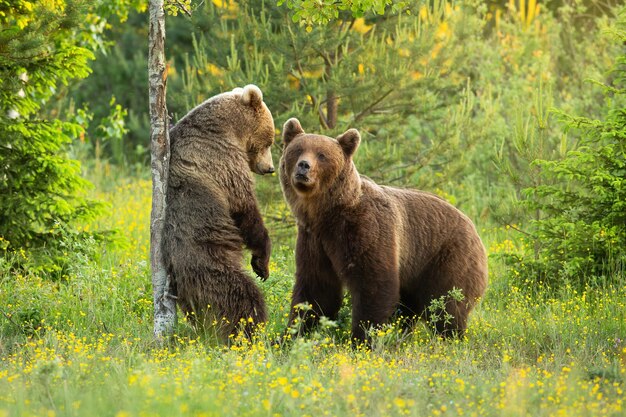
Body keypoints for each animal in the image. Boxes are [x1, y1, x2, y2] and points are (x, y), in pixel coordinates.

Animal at [162, 84, 274, 338]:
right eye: (270, 141)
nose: (270, 168)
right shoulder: (222, 162)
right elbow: (245, 211)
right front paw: (261, 263)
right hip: (210, 264)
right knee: (242, 296)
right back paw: (249, 332)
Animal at [278, 117, 488, 342]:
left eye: (321, 154)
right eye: (298, 149)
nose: (304, 165)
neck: (327, 214)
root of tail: (474, 227)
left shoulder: (365, 229)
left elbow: (374, 283)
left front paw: (361, 339)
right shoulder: (314, 239)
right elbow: (316, 289)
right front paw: (290, 336)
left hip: (446, 257)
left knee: (446, 304)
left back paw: (450, 337)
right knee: (410, 308)